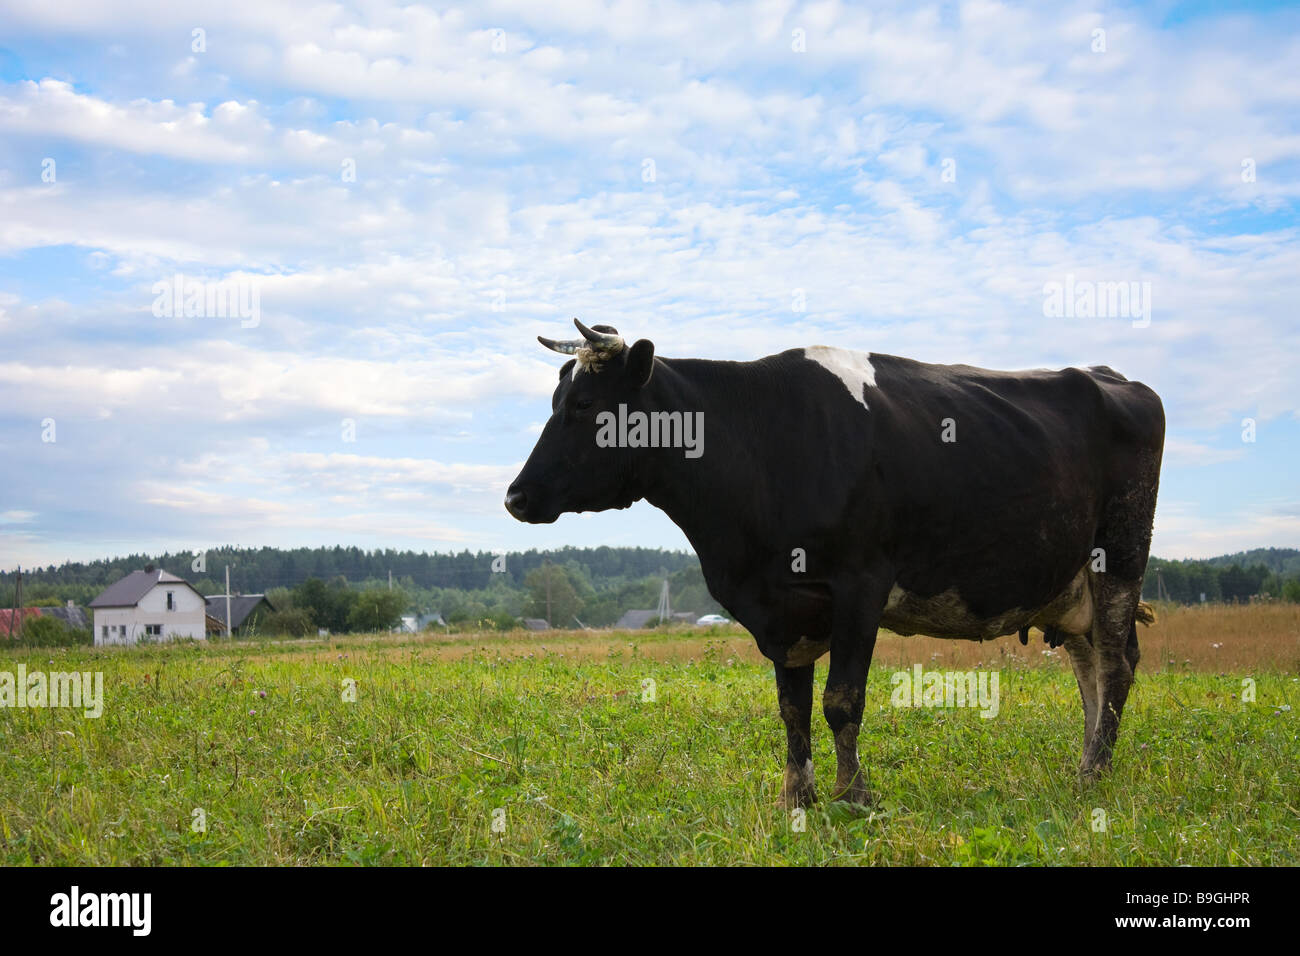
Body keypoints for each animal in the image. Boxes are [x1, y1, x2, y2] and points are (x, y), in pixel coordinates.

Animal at [506, 319, 1164, 807]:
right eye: (558, 399)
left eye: (585, 404)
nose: (515, 497)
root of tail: (1113, 377)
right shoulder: (781, 607)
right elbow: (792, 708)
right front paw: (797, 799)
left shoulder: (861, 584)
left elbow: (841, 701)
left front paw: (854, 797)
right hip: (1066, 581)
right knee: (1089, 665)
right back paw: (1085, 769)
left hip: (1119, 558)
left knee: (1117, 664)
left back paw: (1096, 775)